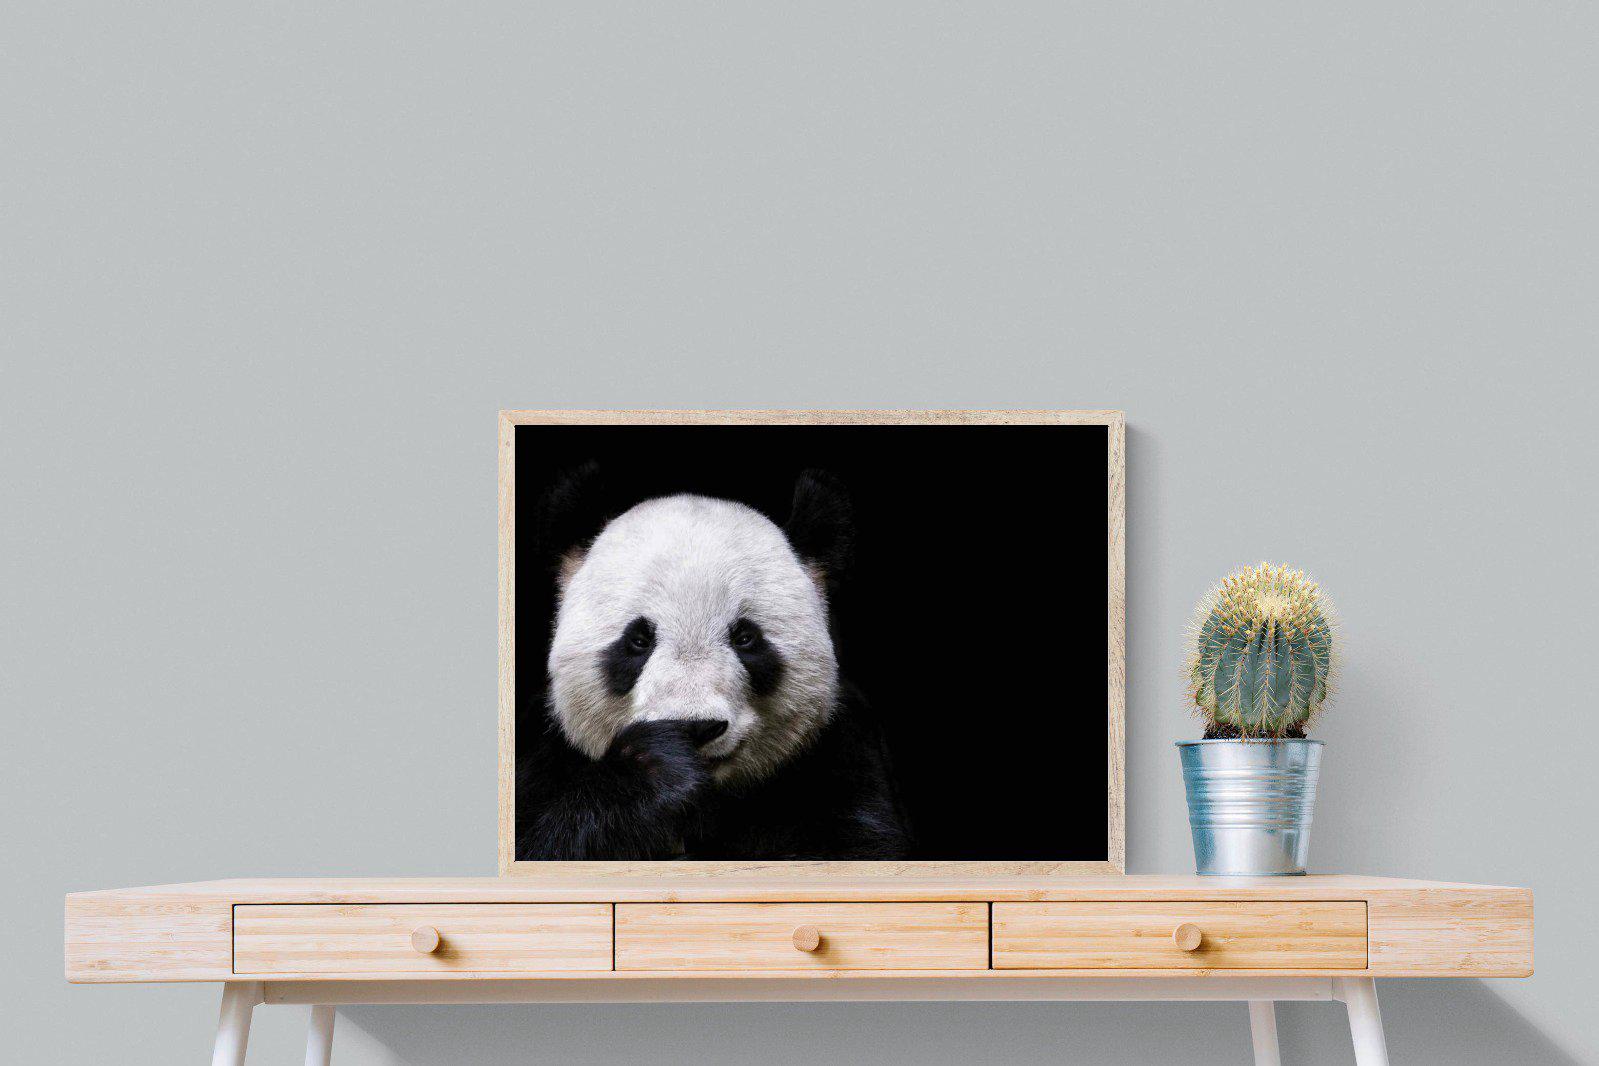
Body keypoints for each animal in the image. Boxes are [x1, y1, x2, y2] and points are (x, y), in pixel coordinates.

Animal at [515, 467, 912, 861]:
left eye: (745, 637)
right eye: (638, 640)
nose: (696, 726)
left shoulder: (840, 754)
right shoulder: (545, 753)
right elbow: (542, 839)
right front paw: (656, 767)